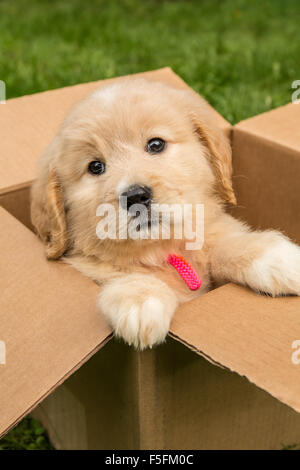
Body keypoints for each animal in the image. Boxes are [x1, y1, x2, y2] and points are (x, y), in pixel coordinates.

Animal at [30, 78, 300, 348]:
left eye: (156, 144)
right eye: (95, 167)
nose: (136, 196)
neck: (161, 249)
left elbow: (226, 246)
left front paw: (277, 257)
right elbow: (119, 274)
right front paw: (141, 299)